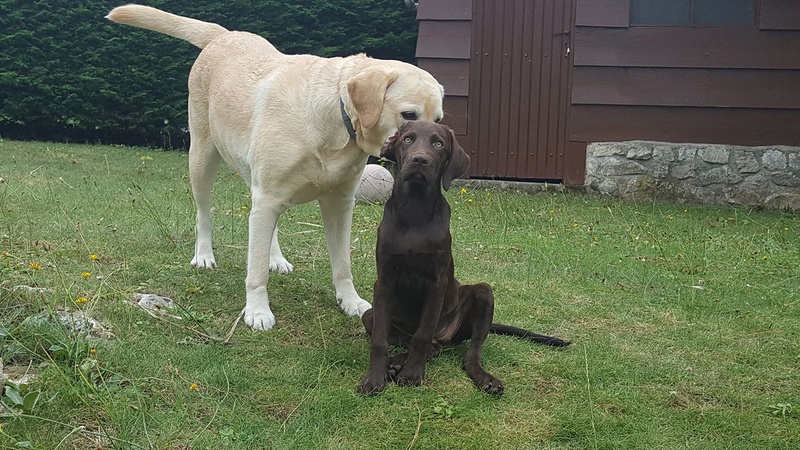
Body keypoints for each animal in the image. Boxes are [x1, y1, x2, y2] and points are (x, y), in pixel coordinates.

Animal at [105, 4, 444, 330]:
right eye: (409, 115)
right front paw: (257, 311)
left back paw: (275, 257)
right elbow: (255, 272)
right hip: (202, 158)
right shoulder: (267, 197)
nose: (427, 158)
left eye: (438, 119)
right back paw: (204, 254)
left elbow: (342, 264)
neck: (335, 116)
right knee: (204, 212)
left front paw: (351, 302)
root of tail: (223, 34)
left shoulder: (338, 204)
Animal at [356, 121, 568, 396]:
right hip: (370, 315)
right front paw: (374, 378)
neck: (414, 208)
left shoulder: (437, 282)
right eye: (407, 139)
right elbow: (380, 339)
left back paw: (482, 377)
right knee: (418, 341)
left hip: (483, 293)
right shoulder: (384, 281)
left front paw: (412, 374)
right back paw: (396, 363)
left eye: (438, 144)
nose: (419, 160)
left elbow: (423, 335)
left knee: (467, 351)